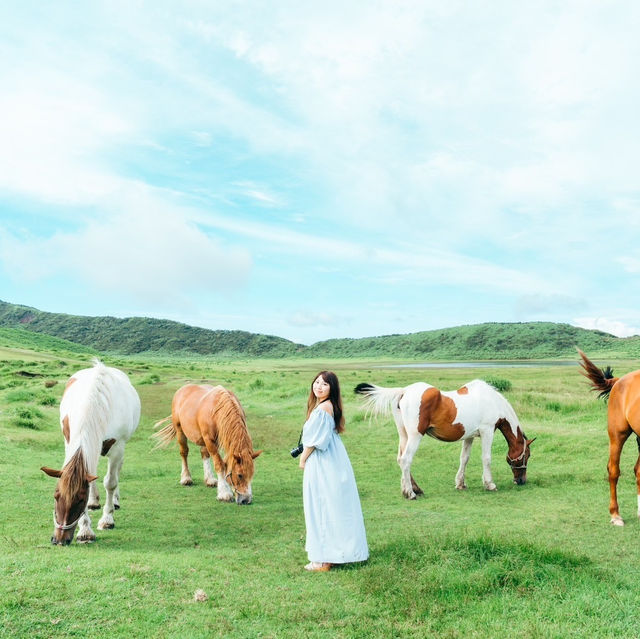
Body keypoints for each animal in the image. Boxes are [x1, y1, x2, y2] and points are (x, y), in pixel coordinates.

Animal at [40, 362, 141, 548]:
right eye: (56, 496)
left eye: (80, 499)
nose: (59, 539)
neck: (94, 404)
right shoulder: (70, 441)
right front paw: (85, 530)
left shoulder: (117, 447)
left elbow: (111, 482)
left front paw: (107, 520)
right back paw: (95, 502)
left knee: (117, 471)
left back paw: (115, 501)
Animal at [352, 380, 532, 500]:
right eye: (527, 455)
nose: (521, 481)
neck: (492, 401)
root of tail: (404, 391)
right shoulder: (487, 431)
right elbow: (486, 458)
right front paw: (490, 484)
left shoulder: (469, 436)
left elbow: (464, 458)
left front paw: (460, 483)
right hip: (415, 436)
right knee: (406, 460)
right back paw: (410, 493)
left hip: (404, 435)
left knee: (400, 459)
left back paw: (413, 489)